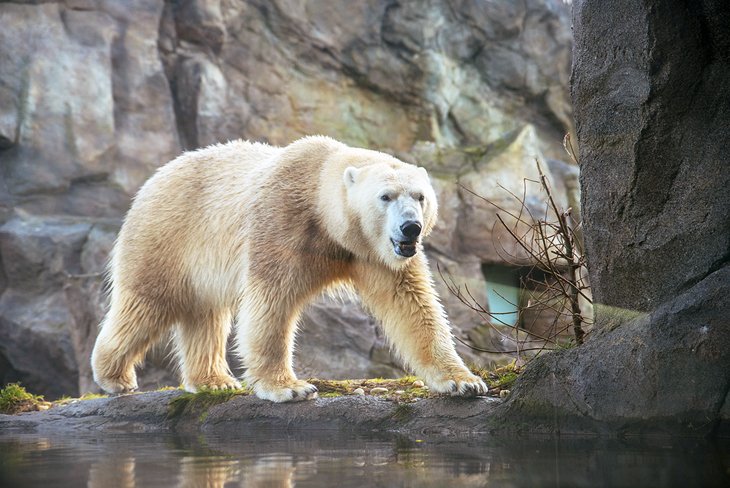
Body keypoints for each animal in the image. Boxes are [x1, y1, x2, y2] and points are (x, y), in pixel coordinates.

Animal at [92, 135, 490, 402]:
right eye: (386, 196)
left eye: (420, 196)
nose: (411, 227)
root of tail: (154, 177)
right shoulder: (281, 221)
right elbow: (271, 301)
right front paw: (290, 388)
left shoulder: (374, 254)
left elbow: (412, 306)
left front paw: (463, 381)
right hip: (168, 234)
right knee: (146, 303)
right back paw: (115, 375)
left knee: (205, 315)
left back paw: (213, 380)